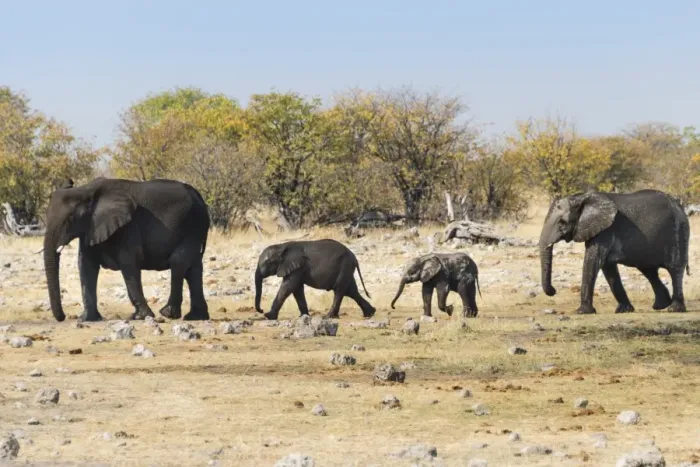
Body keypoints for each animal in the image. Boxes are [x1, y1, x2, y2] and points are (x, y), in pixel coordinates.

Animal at [43, 177, 211, 322]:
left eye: (70, 219)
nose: (63, 317)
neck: (85, 191)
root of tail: (198, 196)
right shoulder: (90, 228)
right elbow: (86, 266)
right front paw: (86, 319)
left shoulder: (127, 228)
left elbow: (128, 264)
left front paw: (140, 317)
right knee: (193, 269)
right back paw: (196, 317)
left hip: (192, 226)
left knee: (178, 262)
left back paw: (168, 313)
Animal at [539, 189, 690, 314]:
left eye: (562, 223)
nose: (553, 291)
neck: (580, 198)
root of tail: (679, 205)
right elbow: (608, 269)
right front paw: (624, 310)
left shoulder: (605, 231)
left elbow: (593, 261)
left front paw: (582, 312)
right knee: (649, 271)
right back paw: (660, 306)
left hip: (678, 232)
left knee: (675, 270)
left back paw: (674, 309)